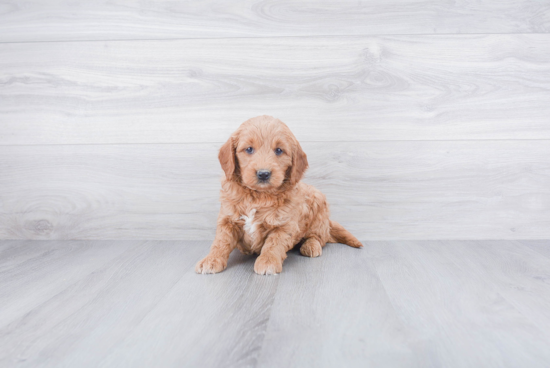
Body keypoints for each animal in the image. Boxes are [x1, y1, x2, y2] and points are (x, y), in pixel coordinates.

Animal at [196, 116, 364, 274]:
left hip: (319, 210)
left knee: (318, 237)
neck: (258, 196)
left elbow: (274, 243)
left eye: (278, 150)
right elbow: (220, 241)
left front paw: (267, 262)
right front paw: (211, 260)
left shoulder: (284, 224)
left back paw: (311, 246)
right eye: (249, 149)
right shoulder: (228, 219)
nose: (263, 174)